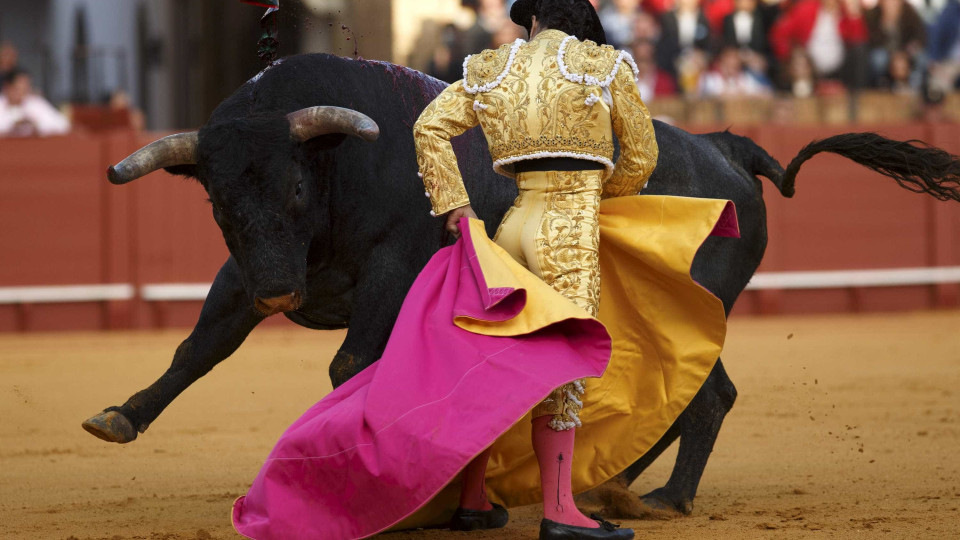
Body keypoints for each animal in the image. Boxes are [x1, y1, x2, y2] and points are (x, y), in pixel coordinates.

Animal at [82, 52, 960, 516]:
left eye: (295, 187)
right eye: (218, 202)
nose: (278, 294)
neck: (337, 167)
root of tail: (724, 146)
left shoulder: (390, 270)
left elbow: (350, 367)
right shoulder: (244, 269)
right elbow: (200, 347)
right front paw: (121, 416)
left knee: (703, 393)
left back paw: (658, 498)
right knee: (683, 392)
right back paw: (613, 487)